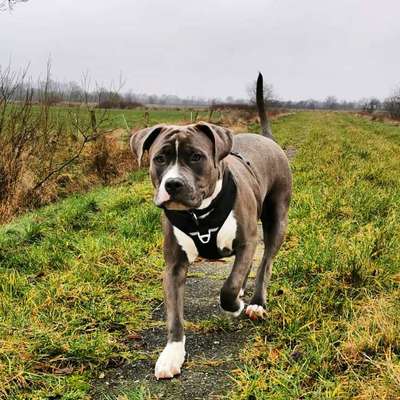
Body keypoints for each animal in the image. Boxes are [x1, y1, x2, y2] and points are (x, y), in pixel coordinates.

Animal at [130, 74, 290, 378]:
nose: (173, 184)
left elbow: (228, 287)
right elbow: (174, 315)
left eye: (196, 157)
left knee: (265, 263)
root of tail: (267, 139)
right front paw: (172, 354)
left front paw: (235, 304)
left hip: (277, 219)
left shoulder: (247, 240)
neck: (199, 214)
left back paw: (255, 302)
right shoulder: (173, 264)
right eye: (159, 158)